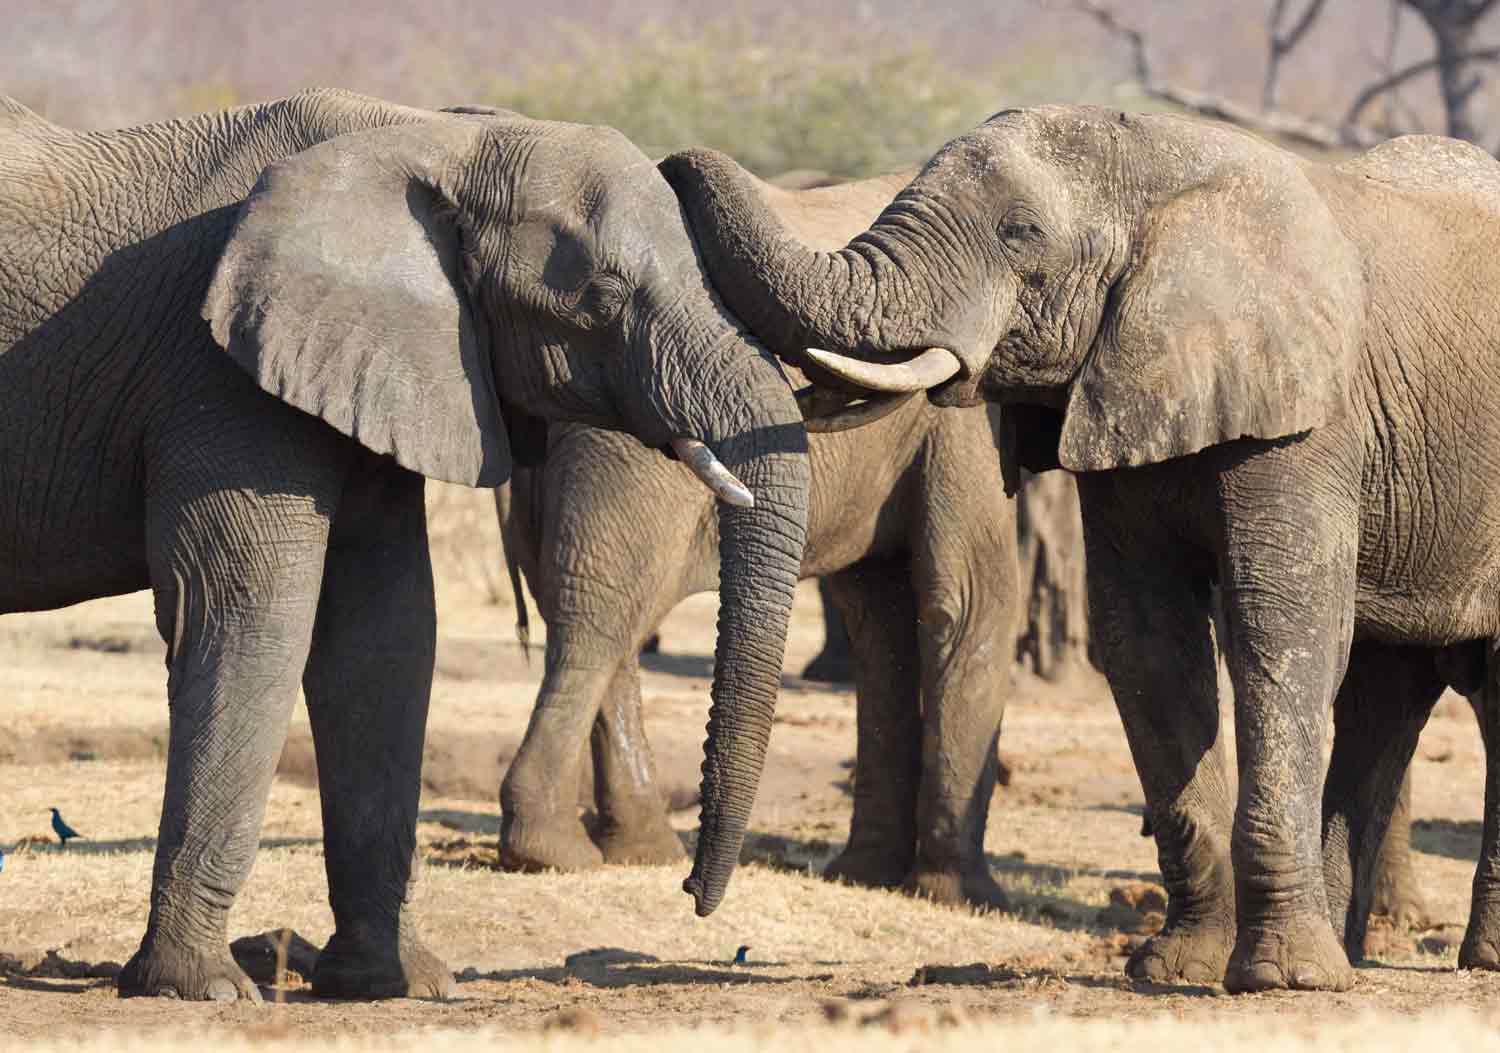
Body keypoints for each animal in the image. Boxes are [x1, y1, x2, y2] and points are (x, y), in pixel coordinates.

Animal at [0, 90, 822, 1008]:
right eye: (601, 296)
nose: (689, 892)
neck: (431, 136)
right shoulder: (218, 375)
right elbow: (252, 619)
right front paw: (202, 987)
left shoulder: (369, 366)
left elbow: (383, 636)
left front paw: (398, 983)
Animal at [492, 169, 1020, 912]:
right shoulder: (964, 419)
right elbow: (971, 602)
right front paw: (966, 898)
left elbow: (883, 618)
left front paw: (866, 876)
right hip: (627, 456)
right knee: (598, 618)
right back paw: (557, 855)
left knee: (600, 616)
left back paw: (642, 852)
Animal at [660, 103, 1500, 996]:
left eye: (1020, 231)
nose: (674, 159)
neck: (1171, 169)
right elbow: (1146, 640)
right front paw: (1176, 968)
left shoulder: (1309, 415)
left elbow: (1282, 628)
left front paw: (1279, 980)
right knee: (1387, 687)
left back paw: (1465, 959)